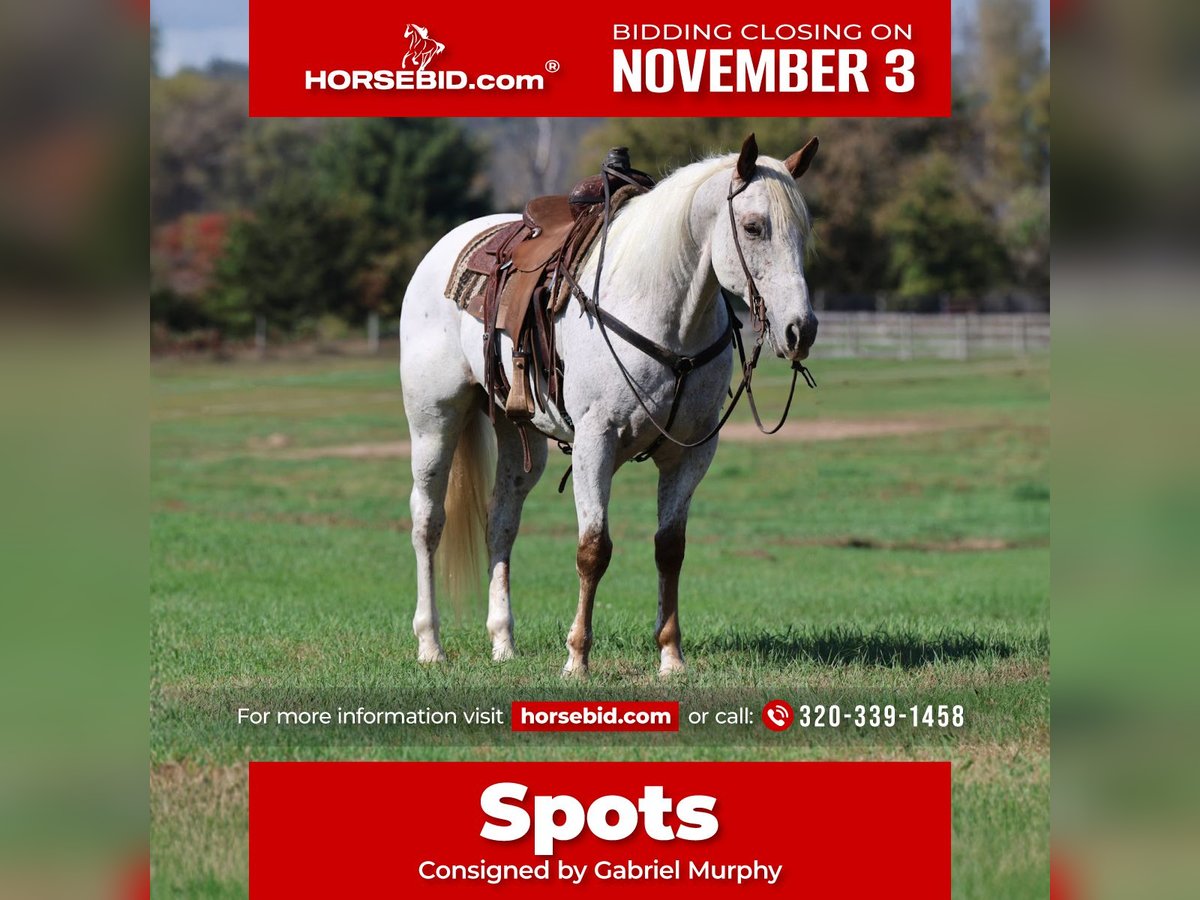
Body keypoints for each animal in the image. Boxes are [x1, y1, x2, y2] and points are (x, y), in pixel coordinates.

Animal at [398, 134, 820, 677]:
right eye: (753, 227)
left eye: (803, 231)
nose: (800, 330)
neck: (663, 313)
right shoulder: (595, 442)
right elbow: (593, 549)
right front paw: (577, 657)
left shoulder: (691, 452)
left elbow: (670, 549)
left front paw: (671, 656)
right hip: (434, 420)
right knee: (428, 522)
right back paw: (430, 644)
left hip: (518, 434)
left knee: (501, 523)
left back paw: (503, 643)